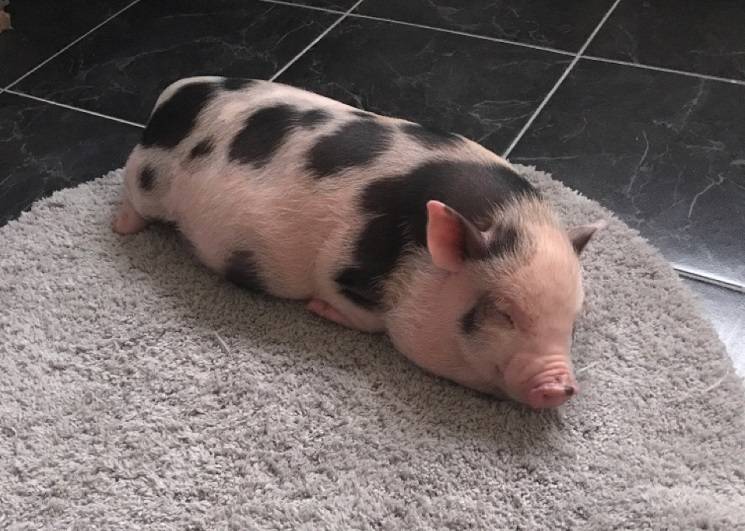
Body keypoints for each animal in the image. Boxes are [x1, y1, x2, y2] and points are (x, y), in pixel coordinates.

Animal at [113, 76, 604, 409]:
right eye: (504, 313)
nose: (561, 385)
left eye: (572, 323)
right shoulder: (341, 265)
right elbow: (363, 316)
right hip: (147, 177)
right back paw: (122, 227)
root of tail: (174, 93)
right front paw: (317, 309)